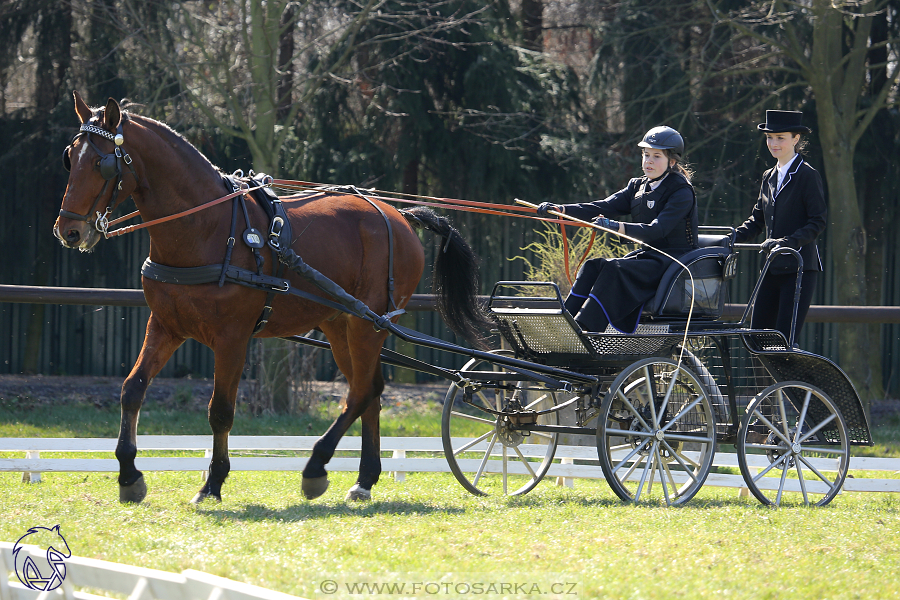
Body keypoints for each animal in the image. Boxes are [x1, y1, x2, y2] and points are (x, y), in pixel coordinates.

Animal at [52, 92, 488, 506]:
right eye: (70, 157)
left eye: (103, 164)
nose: (69, 231)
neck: (205, 227)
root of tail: (398, 216)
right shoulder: (165, 326)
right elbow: (132, 389)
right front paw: (129, 475)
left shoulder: (232, 337)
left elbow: (220, 411)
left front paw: (212, 483)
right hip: (341, 324)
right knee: (371, 392)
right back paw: (364, 480)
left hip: (369, 323)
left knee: (361, 392)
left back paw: (316, 467)